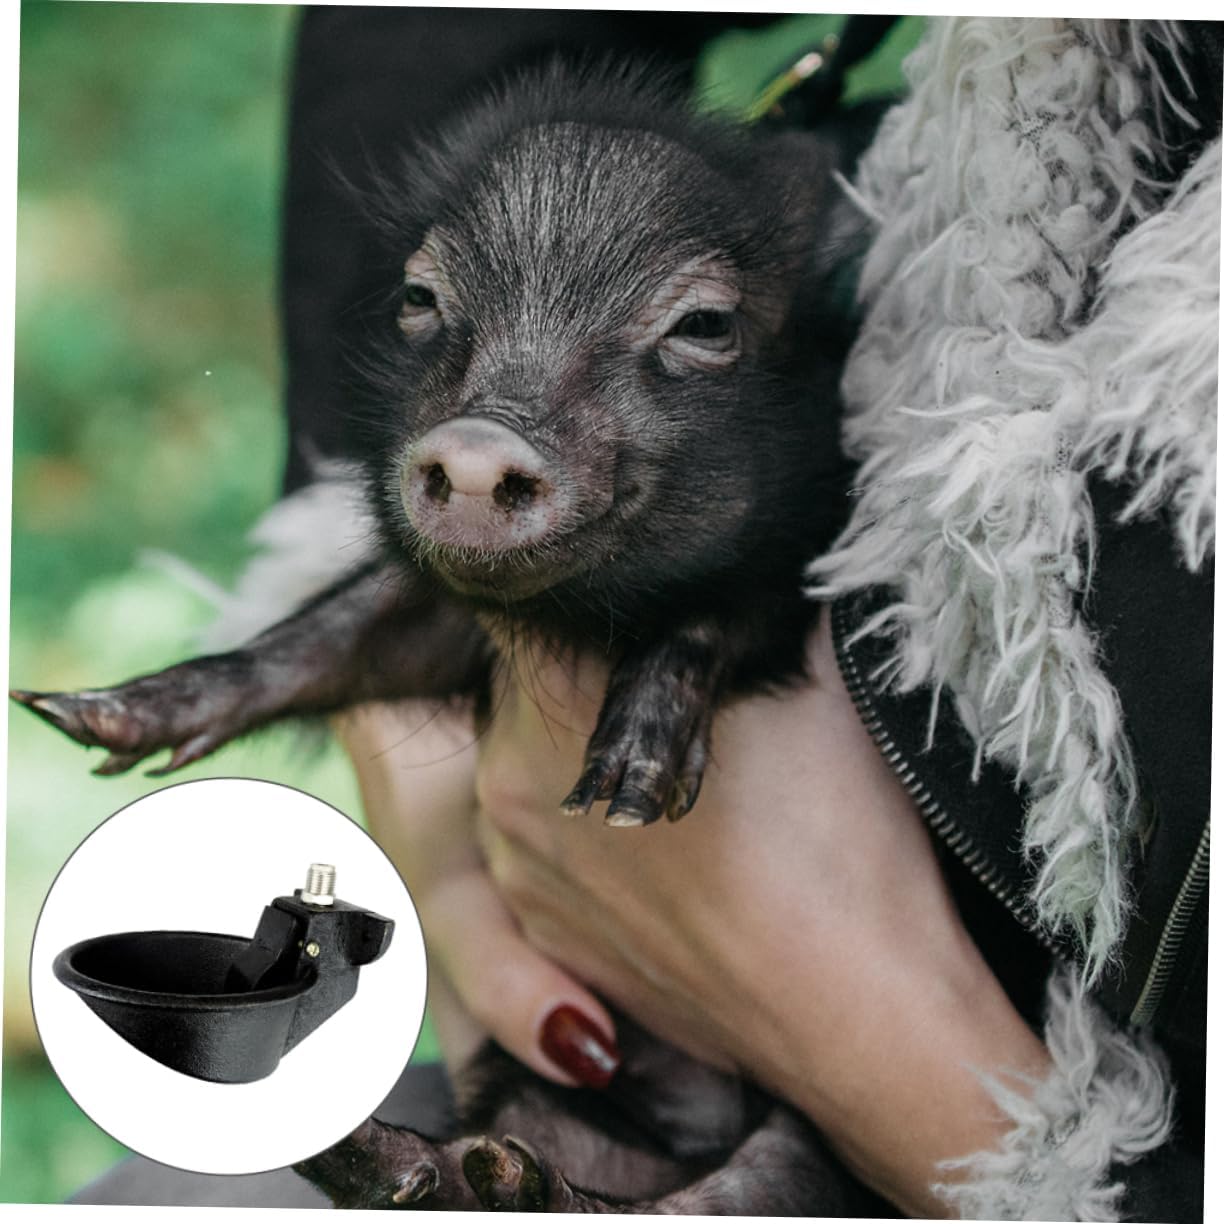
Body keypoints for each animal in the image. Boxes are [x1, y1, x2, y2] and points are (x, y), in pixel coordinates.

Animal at [14, 61, 885, 1211]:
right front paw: (82, 713)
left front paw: (622, 793)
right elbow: (325, 637)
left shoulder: (809, 561)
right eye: (422, 300)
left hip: (799, 1151)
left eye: (703, 323)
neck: (579, 616)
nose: (476, 443)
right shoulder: (442, 623)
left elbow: (711, 616)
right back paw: (389, 1157)